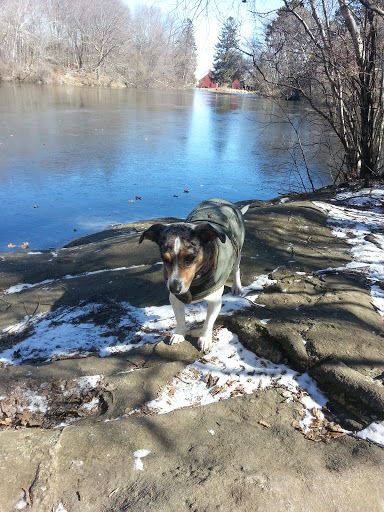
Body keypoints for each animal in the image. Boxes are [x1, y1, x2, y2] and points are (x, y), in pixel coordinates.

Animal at [140, 197, 248, 352]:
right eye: (164, 259)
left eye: (190, 258)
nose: (174, 288)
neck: (196, 280)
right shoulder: (175, 299)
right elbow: (180, 318)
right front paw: (179, 334)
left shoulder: (215, 301)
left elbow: (208, 322)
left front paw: (204, 339)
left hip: (237, 251)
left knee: (236, 269)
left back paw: (236, 286)